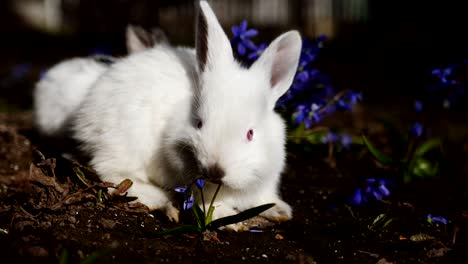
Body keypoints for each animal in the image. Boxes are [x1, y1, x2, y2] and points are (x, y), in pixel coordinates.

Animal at [71, 0, 302, 229]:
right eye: (199, 123)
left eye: (250, 134)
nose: (215, 171)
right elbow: (209, 203)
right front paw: (227, 218)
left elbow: (262, 198)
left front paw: (280, 210)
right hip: (122, 144)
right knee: (112, 174)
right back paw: (160, 199)